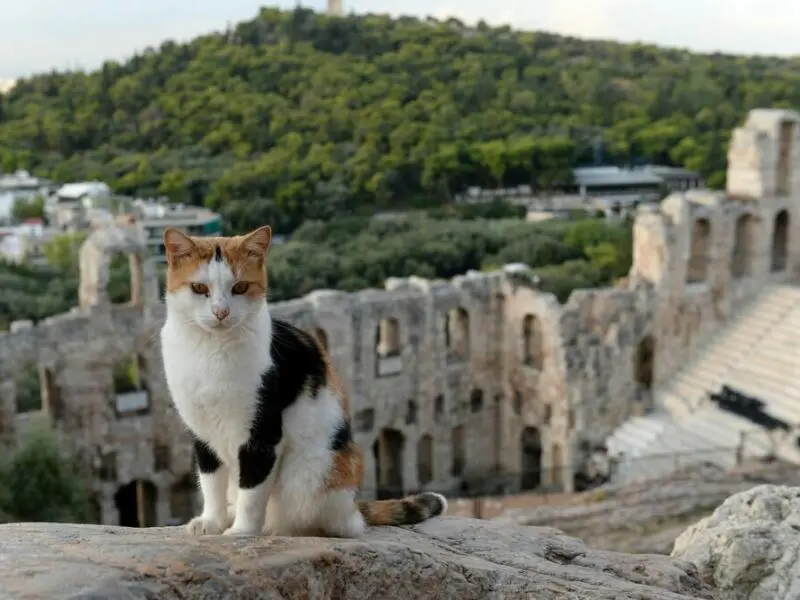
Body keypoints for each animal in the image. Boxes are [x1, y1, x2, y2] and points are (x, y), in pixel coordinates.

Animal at [159, 226, 446, 540]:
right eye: (199, 288)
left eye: (240, 287)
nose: (221, 312)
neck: (211, 350)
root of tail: (353, 507)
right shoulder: (201, 431)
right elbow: (211, 482)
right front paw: (211, 521)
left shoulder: (263, 433)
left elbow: (252, 490)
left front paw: (242, 532)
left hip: (312, 473)